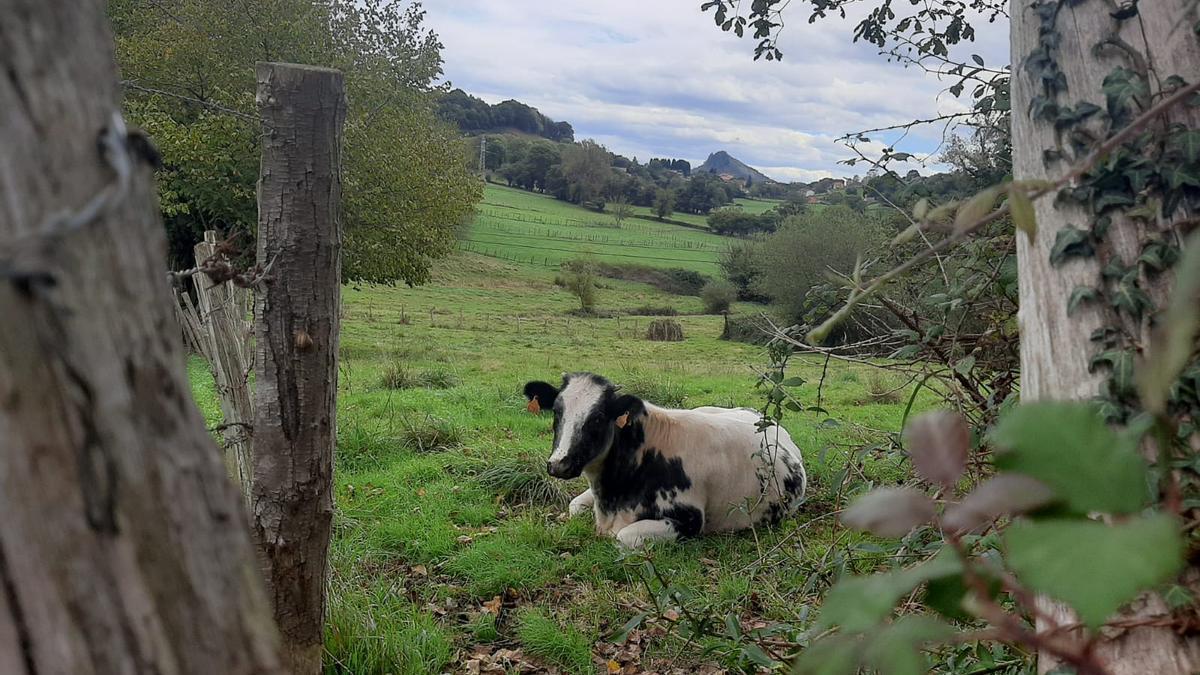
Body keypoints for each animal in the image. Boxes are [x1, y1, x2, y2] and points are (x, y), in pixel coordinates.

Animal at [523, 372, 807, 548]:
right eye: (556, 412)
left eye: (598, 417)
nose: (559, 464)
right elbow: (574, 506)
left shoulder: (690, 520)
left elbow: (623, 537)